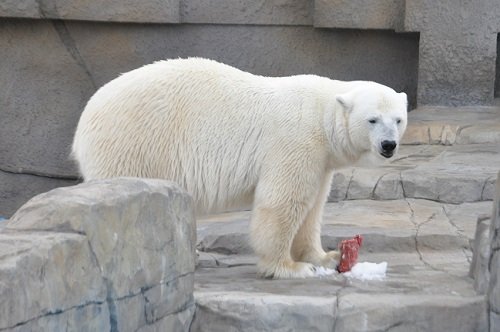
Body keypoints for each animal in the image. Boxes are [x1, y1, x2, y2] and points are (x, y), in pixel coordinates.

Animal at [71, 58, 406, 278]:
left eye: (398, 119)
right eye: (372, 119)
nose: (389, 144)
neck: (322, 113)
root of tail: (85, 117)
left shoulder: (322, 160)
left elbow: (313, 208)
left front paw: (327, 257)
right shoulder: (296, 141)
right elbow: (283, 203)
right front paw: (291, 267)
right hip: (132, 143)